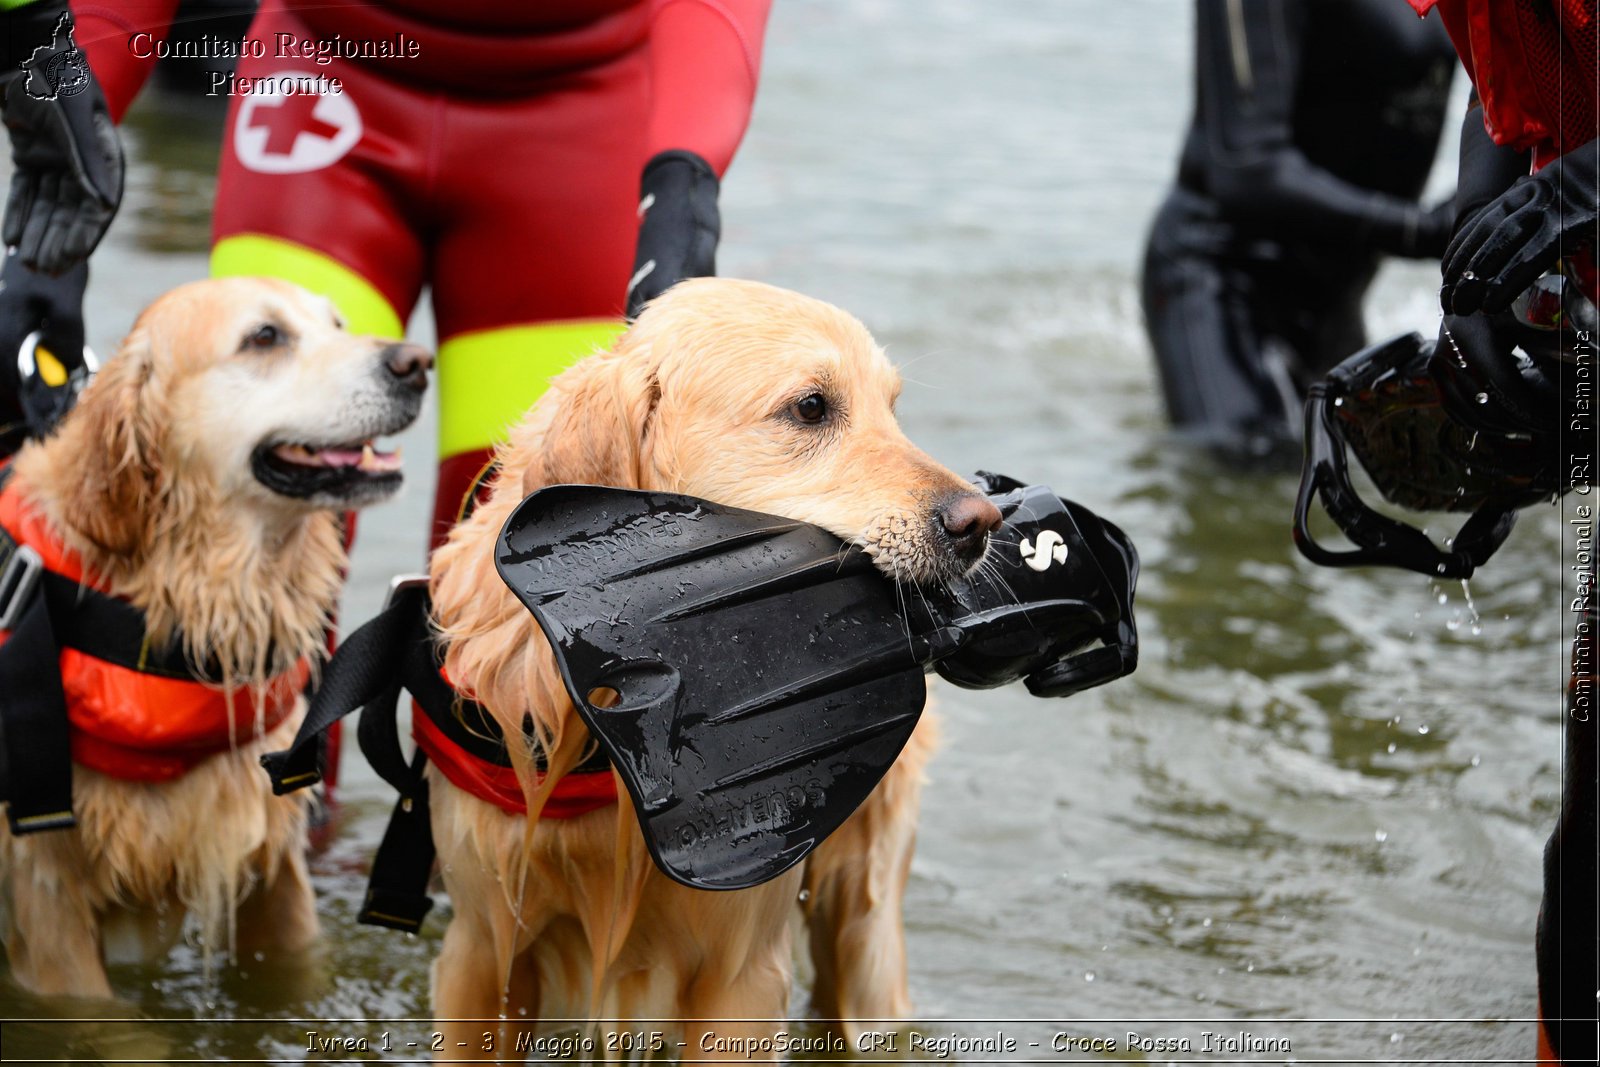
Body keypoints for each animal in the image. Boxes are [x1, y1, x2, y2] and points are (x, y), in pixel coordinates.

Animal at [425, 275, 998, 1049]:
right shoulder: (481, 948)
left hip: (869, 940)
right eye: (811, 406)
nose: (983, 522)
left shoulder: (742, 969)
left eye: (893, 406)